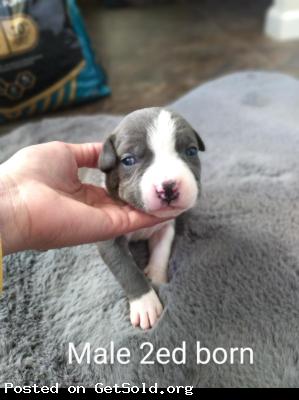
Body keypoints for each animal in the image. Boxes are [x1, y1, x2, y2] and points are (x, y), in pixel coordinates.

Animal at [97, 106, 205, 328]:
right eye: (128, 160)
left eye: (191, 151)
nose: (169, 187)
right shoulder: (109, 240)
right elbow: (127, 269)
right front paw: (146, 304)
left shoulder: (165, 227)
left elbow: (162, 251)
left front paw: (156, 275)